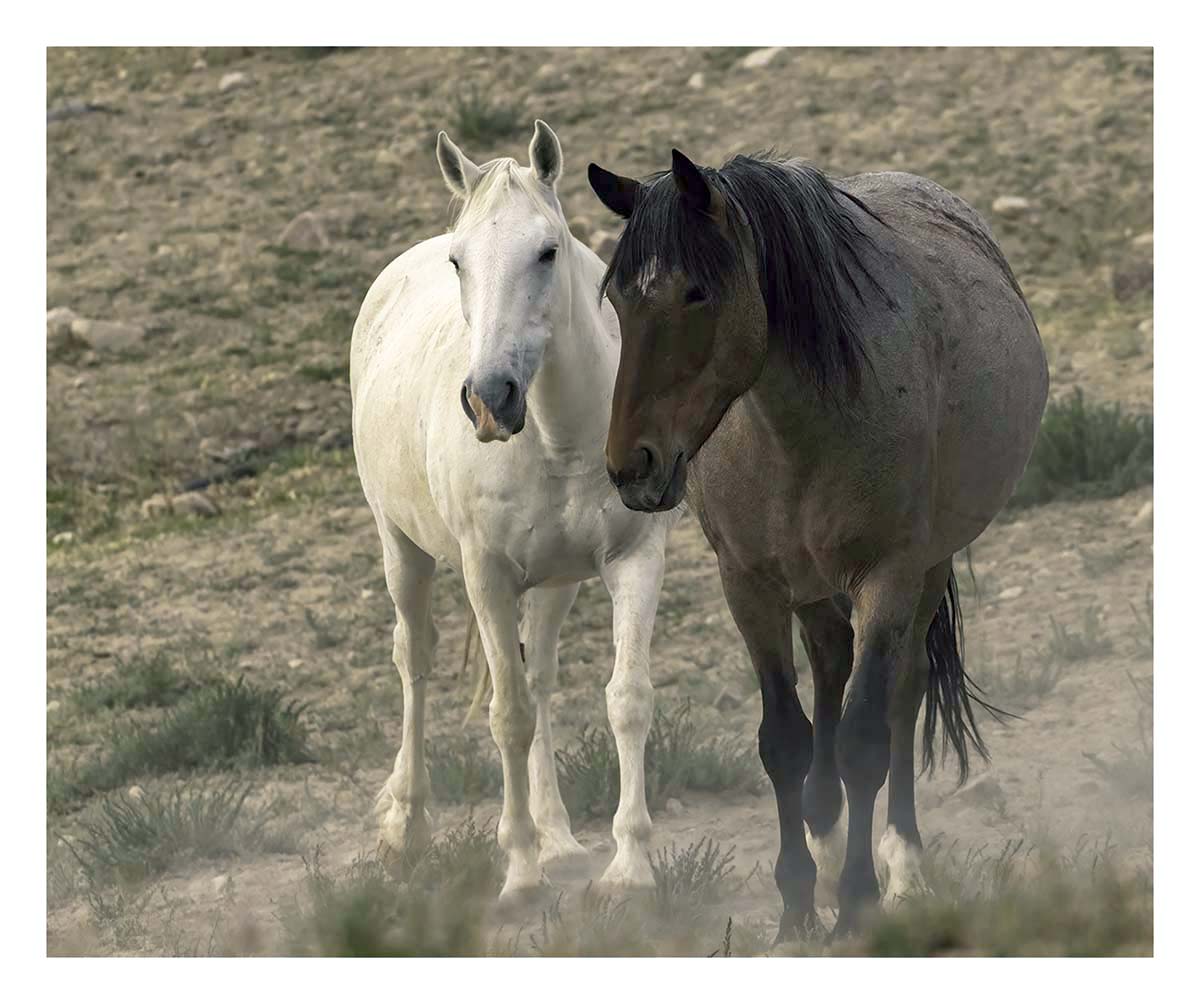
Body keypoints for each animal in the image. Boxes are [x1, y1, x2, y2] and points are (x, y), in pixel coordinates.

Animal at [350, 121, 679, 906]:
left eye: (547, 250)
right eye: (459, 261)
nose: (489, 398)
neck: (561, 436)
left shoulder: (635, 560)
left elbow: (626, 698)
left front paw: (628, 867)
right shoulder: (488, 575)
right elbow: (507, 717)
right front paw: (521, 872)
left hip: (555, 585)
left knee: (540, 678)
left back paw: (560, 838)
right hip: (401, 549)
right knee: (415, 661)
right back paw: (408, 825)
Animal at [587, 149, 1048, 939]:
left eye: (695, 293)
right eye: (616, 297)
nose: (631, 467)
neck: (795, 430)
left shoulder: (888, 578)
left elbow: (866, 739)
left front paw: (860, 899)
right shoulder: (749, 586)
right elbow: (784, 740)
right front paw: (797, 904)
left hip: (923, 572)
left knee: (900, 696)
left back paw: (903, 868)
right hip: (810, 586)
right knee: (830, 665)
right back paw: (826, 839)